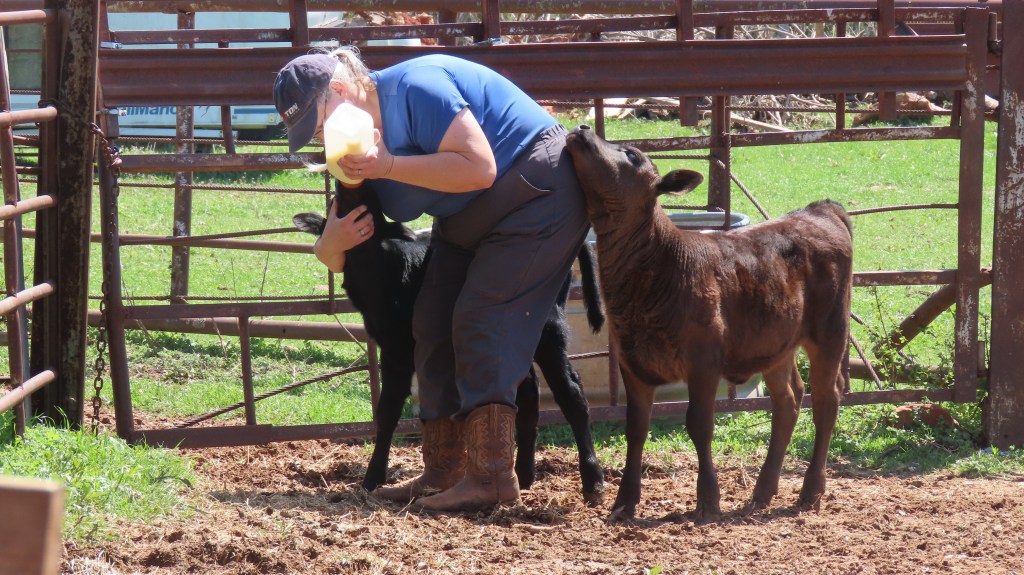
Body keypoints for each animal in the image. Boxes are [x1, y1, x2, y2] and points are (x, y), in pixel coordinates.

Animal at [564, 124, 853, 521]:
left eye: (633, 155)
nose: (581, 129)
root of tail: (819, 209)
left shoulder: (704, 360)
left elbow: (699, 424)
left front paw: (708, 500)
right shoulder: (631, 362)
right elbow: (636, 428)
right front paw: (624, 502)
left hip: (829, 330)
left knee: (826, 397)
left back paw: (810, 492)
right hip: (776, 343)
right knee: (789, 399)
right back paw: (762, 492)